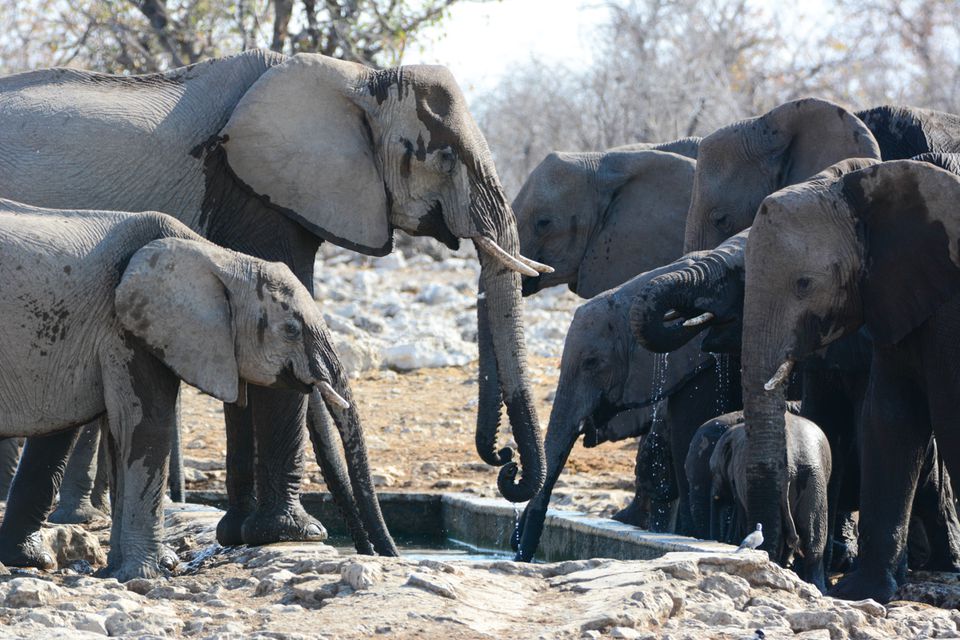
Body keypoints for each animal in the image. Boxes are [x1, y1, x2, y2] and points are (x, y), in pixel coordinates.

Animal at [0, 201, 376, 580]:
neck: (217, 257)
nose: (376, 551)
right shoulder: (126, 326)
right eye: (290, 330)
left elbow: (120, 436)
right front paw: (144, 575)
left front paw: (123, 572)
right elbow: (146, 426)